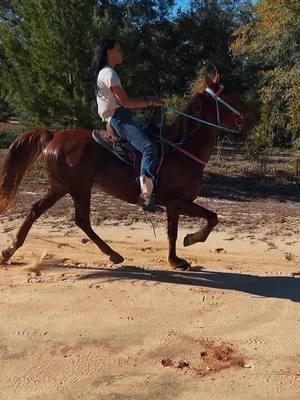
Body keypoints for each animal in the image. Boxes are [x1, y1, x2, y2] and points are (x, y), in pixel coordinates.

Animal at [0, 87, 254, 268]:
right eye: (226, 95)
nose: (250, 113)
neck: (182, 150)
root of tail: (53, 136)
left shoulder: (176, 205)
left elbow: (176, 231)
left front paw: (176, 258)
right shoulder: (177, 201)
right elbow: (210, 218)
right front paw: (188, 243)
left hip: (59, 186)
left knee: (35, 211)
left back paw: (9, 250)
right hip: (79, 188)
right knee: (81, 220)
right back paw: (113, 254)